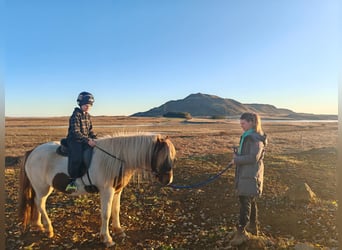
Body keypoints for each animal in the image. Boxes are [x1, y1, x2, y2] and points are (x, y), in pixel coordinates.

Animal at [18, 134, 176, 247]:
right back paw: (49, 229)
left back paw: (39, 225)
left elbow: (116, 210)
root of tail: (32, 152)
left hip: (40, 188)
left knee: (36, 203)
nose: (168, 180)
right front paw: (107, 238)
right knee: (40, 203)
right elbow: (106, 214)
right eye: (162, 156)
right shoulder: (107, 191)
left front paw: (118, 230)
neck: (117, 159)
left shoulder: (117, 191)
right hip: (43, 187)